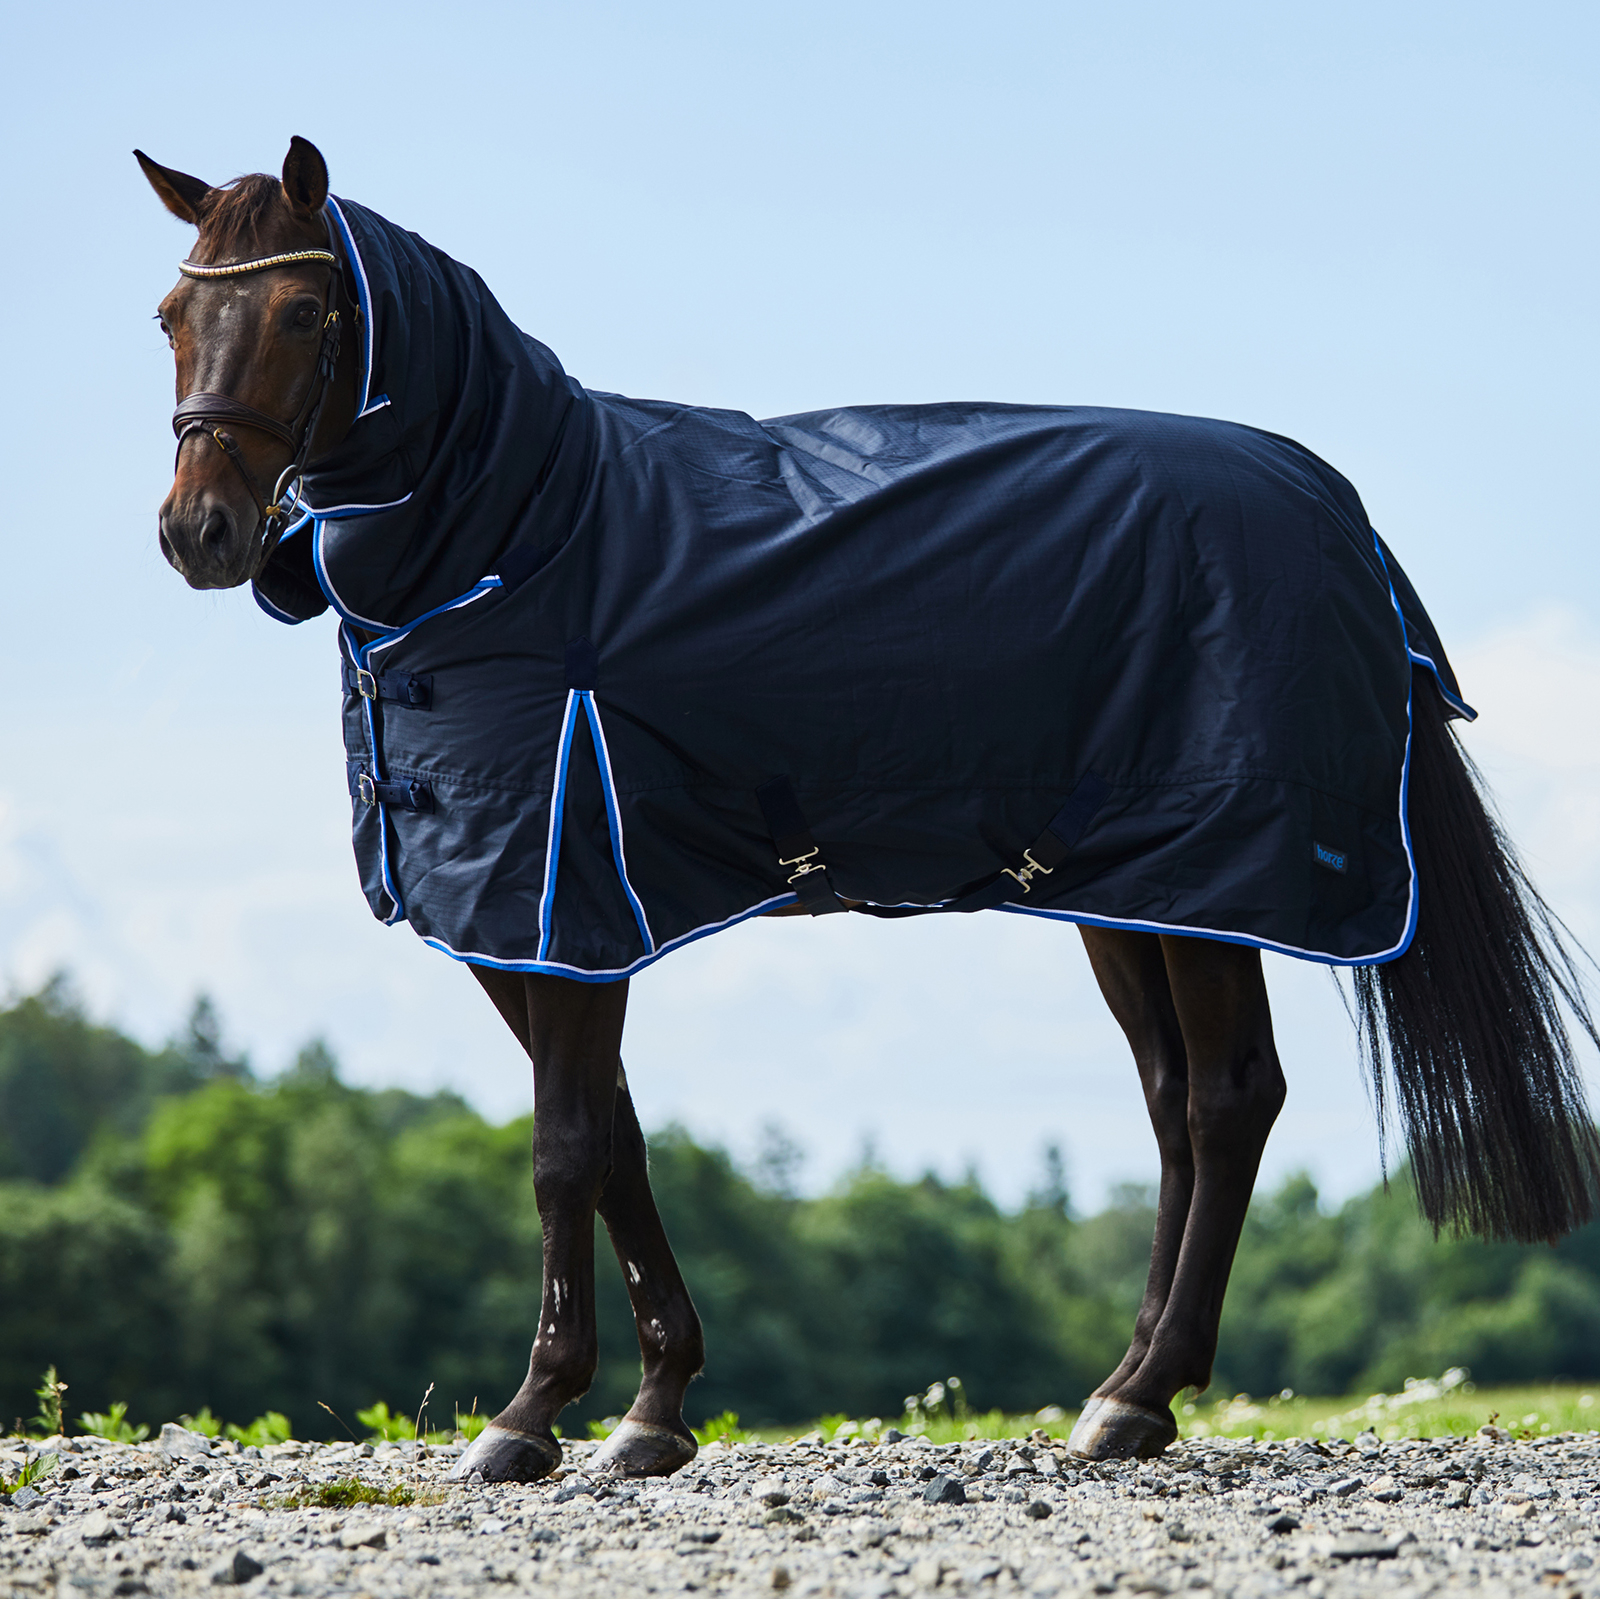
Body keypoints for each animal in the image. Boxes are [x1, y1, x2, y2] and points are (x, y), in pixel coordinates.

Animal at [137, 137, 1600, 1472]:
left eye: (307, 312)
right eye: (171, 314)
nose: (199, 534)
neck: (518, 537)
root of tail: (1341, 517)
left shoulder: (557, 890)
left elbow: (564, 1149)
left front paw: (531, 1415)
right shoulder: (530, 925)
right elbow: (618, 1140)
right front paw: (655, 1408)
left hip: (1213, 884)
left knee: (1229, 1100)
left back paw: (1140, 1400)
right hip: (1128, 892)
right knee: (1175, 1107)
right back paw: (1121, 1384)